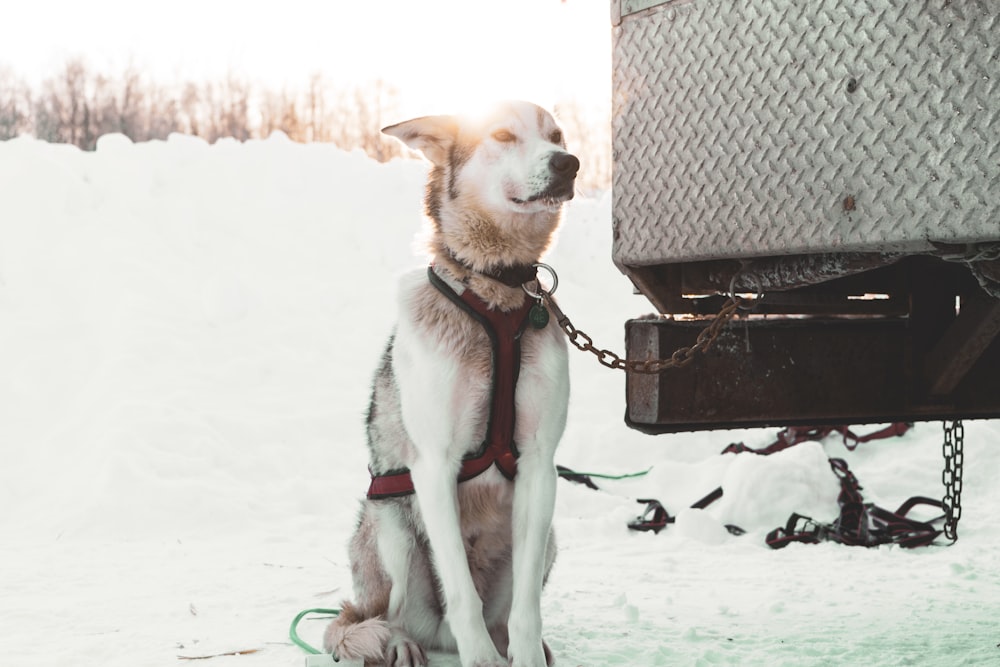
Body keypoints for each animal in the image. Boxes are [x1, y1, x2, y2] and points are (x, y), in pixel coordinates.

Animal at [324, 100, 580, 667]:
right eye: (503, 136)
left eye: (556, 136)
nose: (568, 163)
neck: (497, 292)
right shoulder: (435, 466)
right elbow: (461, 592)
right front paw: (481, 659)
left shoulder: (539, 464)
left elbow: (527, 607)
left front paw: (525, 655)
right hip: (392, 530)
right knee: (386, 616)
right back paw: (400, 642)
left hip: (551, 536)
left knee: (503, 611)